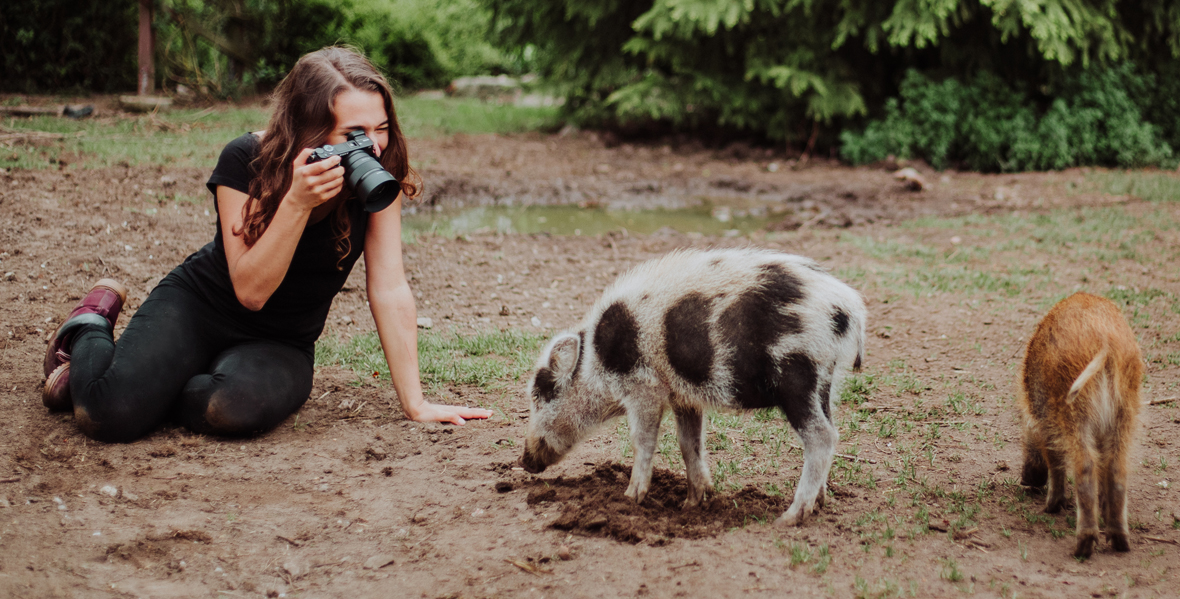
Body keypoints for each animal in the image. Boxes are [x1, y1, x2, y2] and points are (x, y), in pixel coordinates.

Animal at [521, 246, 863, 523]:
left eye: (541, 393)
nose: (524, 461)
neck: (596, 361)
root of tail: (849, 308)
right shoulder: (683, 396)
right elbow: (689, 443)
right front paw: (692, 504)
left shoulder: (644, 387)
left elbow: (642, 440)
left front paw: (630, 499)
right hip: (825, 381)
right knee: (830, 429)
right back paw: (820, 503)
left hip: (798, 375)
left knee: (822, 436)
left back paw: (789, 518)